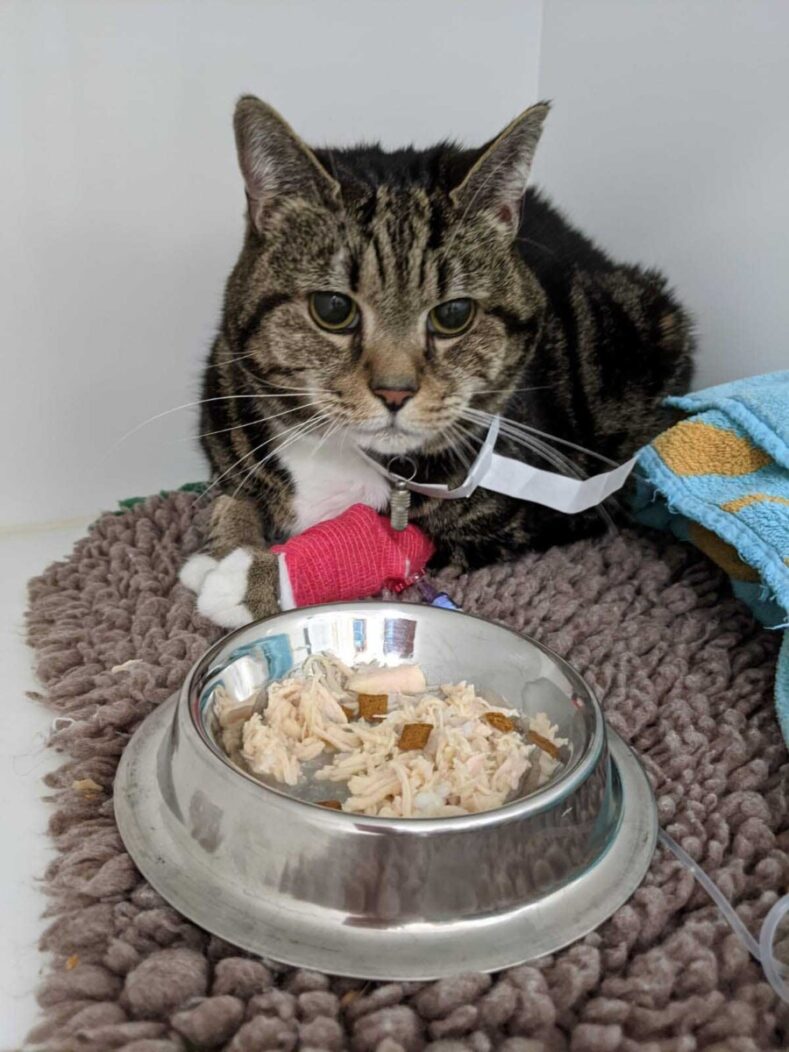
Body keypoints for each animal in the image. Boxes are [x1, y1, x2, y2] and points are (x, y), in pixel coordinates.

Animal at [181, 96, 694, 622]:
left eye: (453, 314)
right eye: (333, 308)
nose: (395, 391)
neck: (338, 454)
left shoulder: (495, 526)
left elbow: (391, 542)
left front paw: (252, 579)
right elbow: (233, 497)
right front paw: (224, 550)